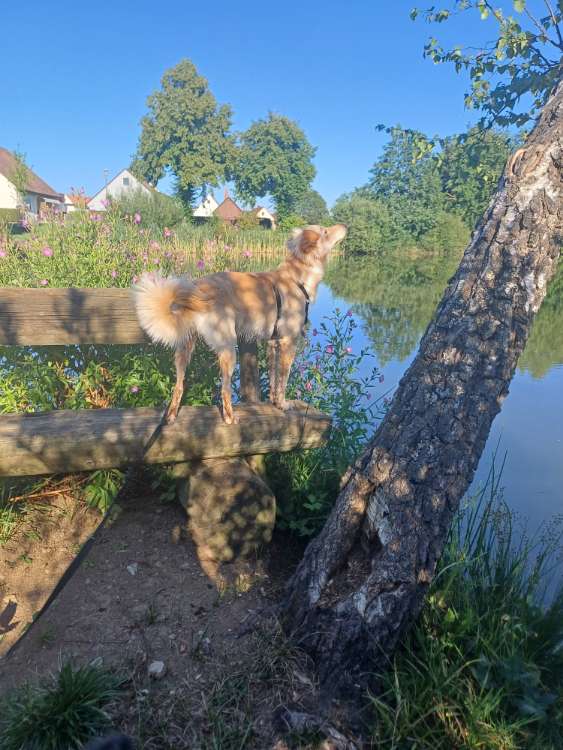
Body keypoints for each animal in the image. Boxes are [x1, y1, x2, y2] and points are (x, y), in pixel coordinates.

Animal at [134, 223, 346, 426]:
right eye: (325, 231)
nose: (345, 225)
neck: (296, 278)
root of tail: (197, 289)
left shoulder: (273, 343)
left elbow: (273, 378)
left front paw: (274, 402)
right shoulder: (288, 342)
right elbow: (283, 380)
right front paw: (283, 404)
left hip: (184, 349)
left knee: (178, 386)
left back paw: (171, 416)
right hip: (228, 347)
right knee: (225, 390)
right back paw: (229, 418)